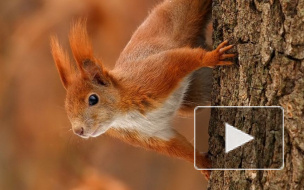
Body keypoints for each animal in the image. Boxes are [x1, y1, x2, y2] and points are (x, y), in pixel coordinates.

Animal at [50, 0, 235, 178]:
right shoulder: (151, 134)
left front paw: (213, 57)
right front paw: (204, 165)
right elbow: (178, 147)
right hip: (195, 94)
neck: (123, 114)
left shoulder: (155, 75)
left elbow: (181, 60)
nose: (78, 131)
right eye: (67, 108)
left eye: (93, 99)